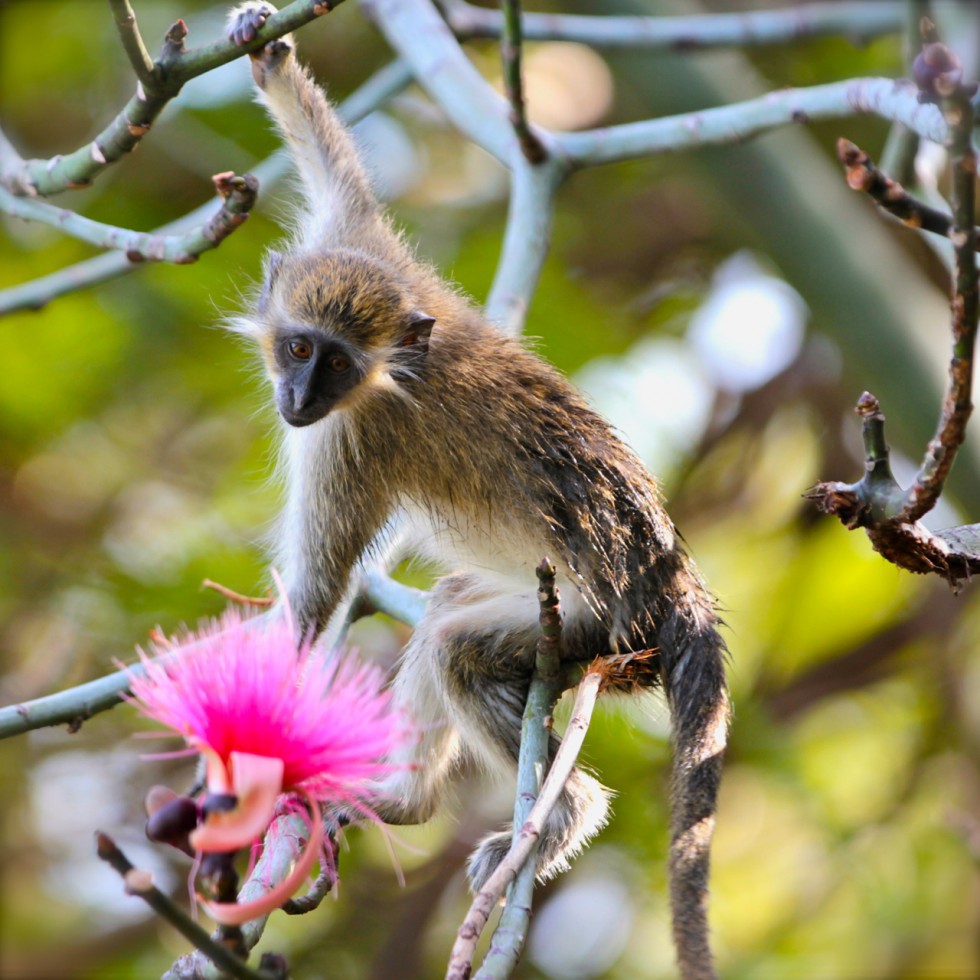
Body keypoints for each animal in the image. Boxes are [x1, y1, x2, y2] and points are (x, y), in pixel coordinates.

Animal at [226, 5, 729, 978]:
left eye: (333, 365)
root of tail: (675, 581)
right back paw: (405, 802)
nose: (299, 397)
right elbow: (339, 171)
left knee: (462, 646)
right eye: (299, 347)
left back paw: (556, 815)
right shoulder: (364, 245)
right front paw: (269, 57)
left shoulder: (355, 442)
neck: (387, 369)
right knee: (450, 609)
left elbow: (315, 599)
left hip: (595, 628)